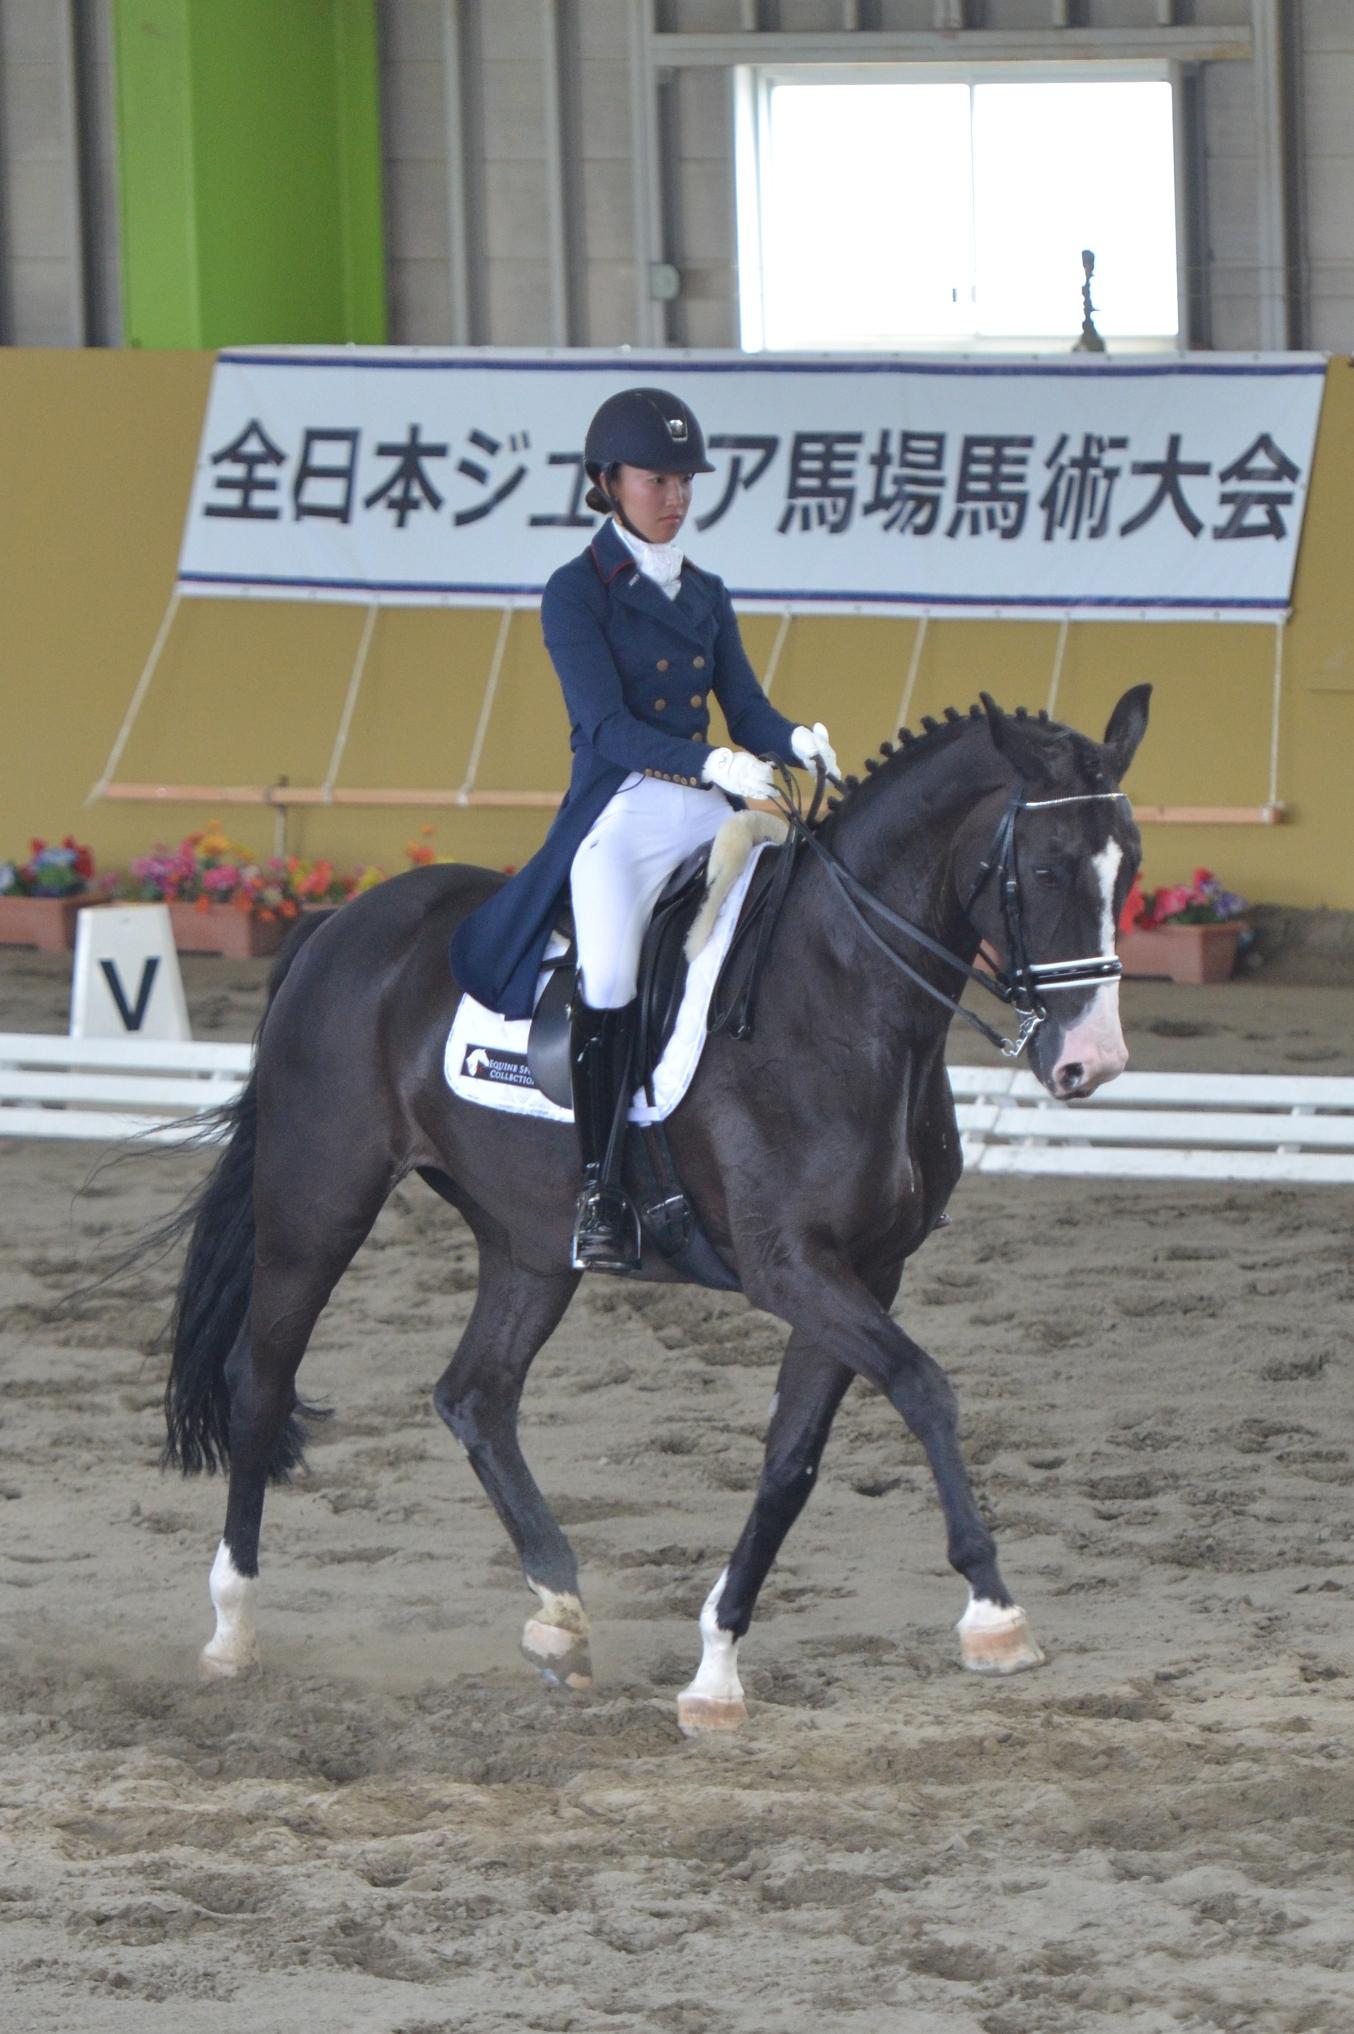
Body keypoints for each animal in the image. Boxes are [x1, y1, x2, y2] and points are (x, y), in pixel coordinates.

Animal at [160, 687, 1146, 1732]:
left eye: (1129, 864)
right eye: (1043, 867)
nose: (1092, 1062)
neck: (840, 997)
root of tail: (342, 922)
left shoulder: (866, 1272)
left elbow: (791, 1459)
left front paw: (716, 1669)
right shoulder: (792, 1266)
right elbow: (924, 1388)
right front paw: (994, 1614)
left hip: (530, 1243)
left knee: (476, 1397)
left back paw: (560, 1618)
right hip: (317, 1205)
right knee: (261, 1382)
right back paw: (231, 1631)